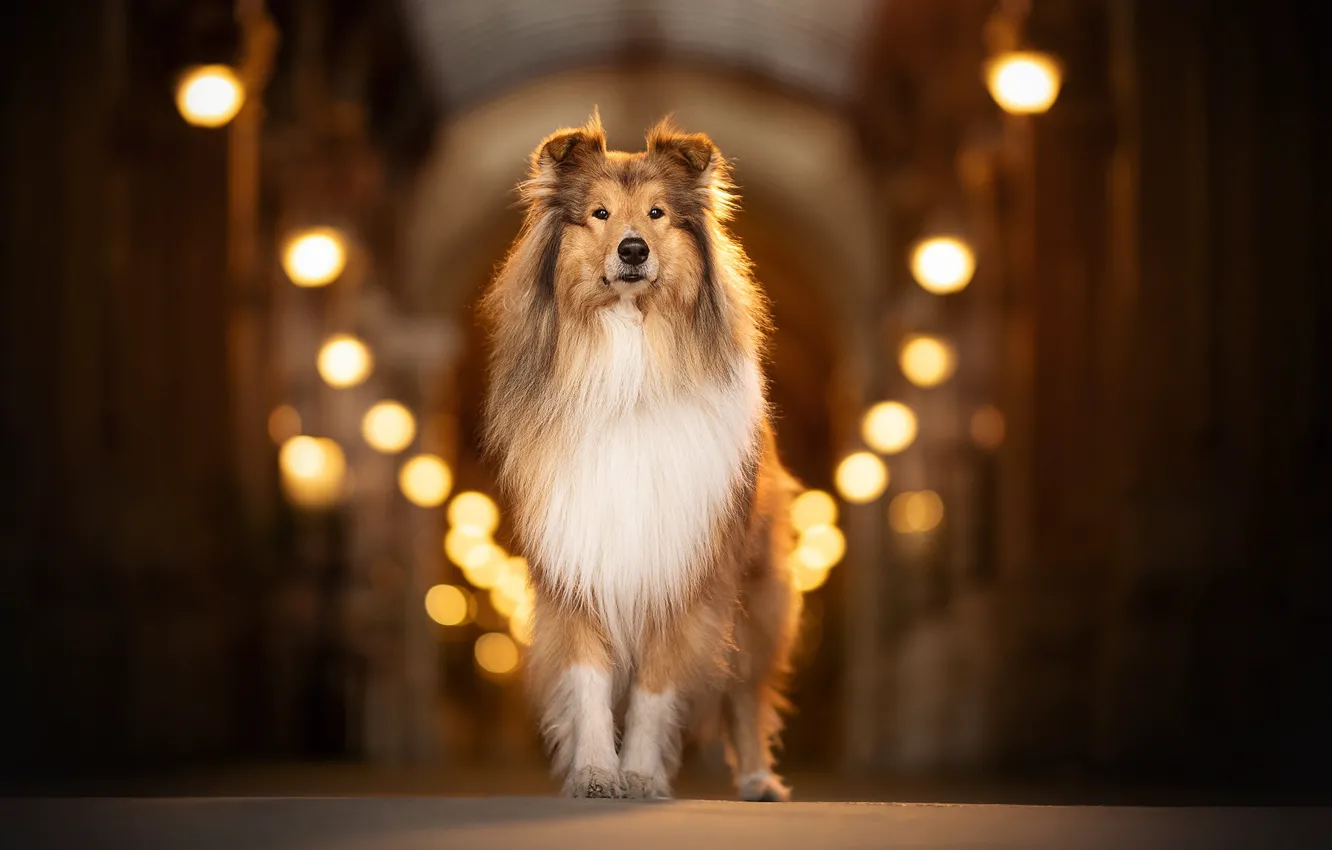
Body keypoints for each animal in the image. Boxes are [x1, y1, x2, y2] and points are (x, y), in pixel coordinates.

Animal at [484, 113, 804, 804]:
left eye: (657, 213)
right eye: (600, 214)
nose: (633, 250)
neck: (629, 355)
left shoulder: (681, 569)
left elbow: (658, 689)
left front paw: (640, 775)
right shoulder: (576, 560)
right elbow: (588, 680)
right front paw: (595, 772)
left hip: (758, 596)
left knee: (746, 690)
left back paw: (757, 779)